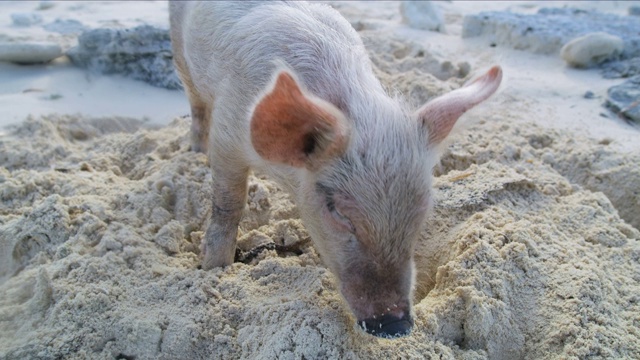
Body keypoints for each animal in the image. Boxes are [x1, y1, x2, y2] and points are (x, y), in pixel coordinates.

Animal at [169, 0, 500, 338]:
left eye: (423, 209)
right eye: (339, 212)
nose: (395, 325)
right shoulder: (227, 133)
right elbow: (229, 203)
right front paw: (214, 267)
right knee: (194, 99)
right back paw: (195, 152)